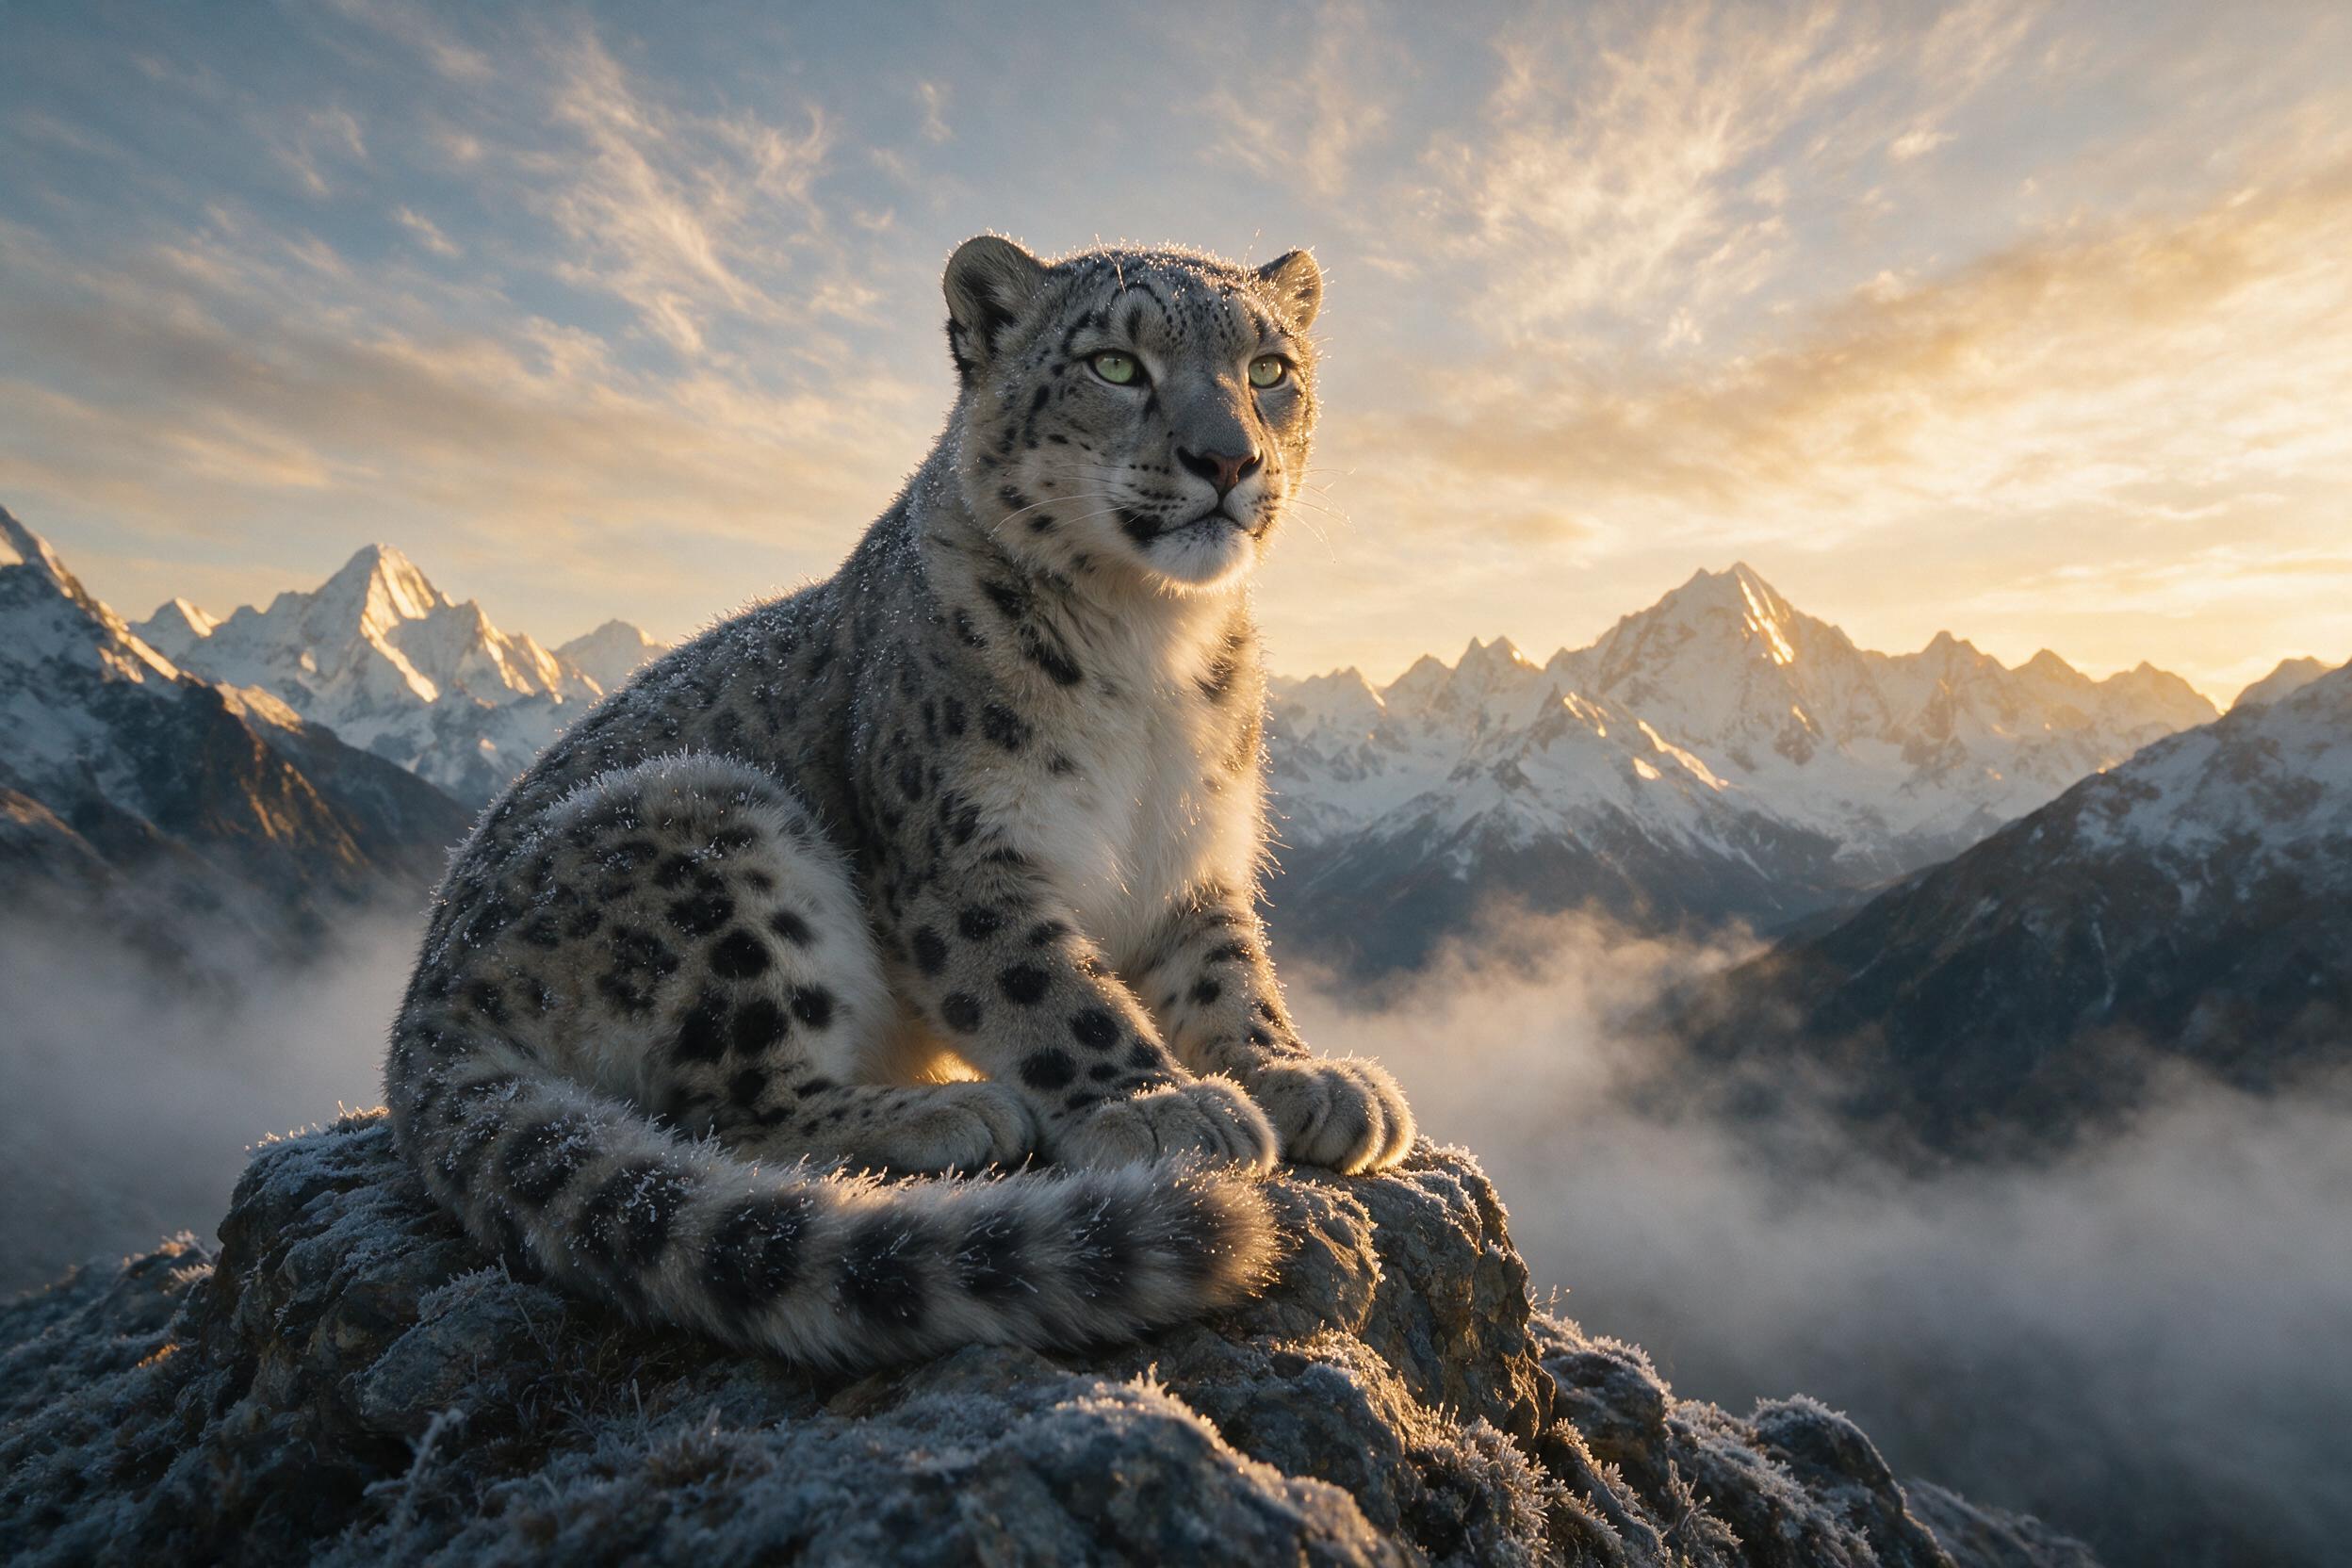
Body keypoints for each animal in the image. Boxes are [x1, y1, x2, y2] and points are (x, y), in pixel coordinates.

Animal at [384, 235, 1416, 1370]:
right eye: (1114, 364)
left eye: (1269, 369)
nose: (1228, 460)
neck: (1154, 647)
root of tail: (423, 1013)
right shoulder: (964, 852)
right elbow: (1048, 985)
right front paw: (1165, 1104)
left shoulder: (1192, 855)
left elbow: (1227, 976)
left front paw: (1305, 1076)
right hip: (706, 822)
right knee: (732, 1105)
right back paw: (944, 1113)